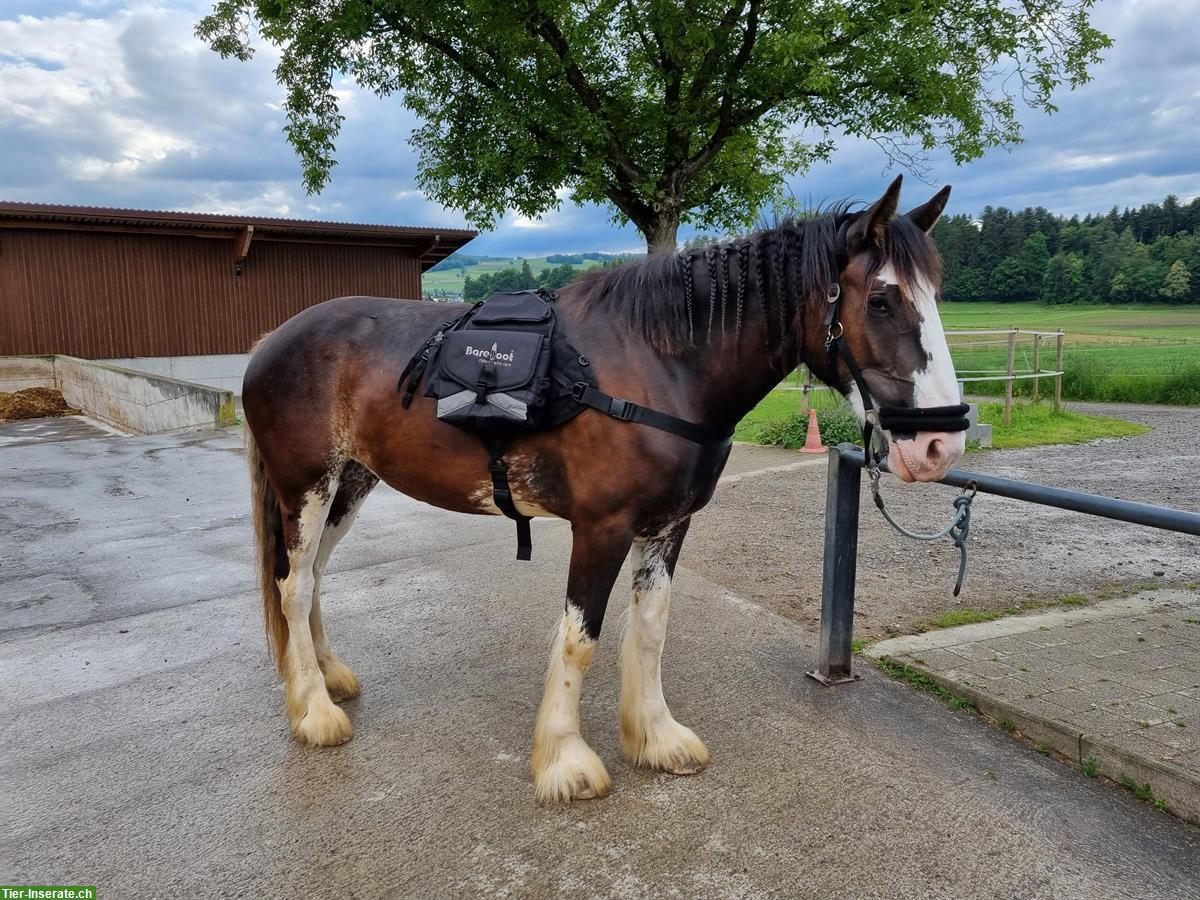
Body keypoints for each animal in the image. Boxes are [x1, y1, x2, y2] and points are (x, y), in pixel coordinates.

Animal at [243, 176, 964, 801]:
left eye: (936, 292)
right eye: (881, 299)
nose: (940, 445)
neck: (658, 365)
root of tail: (270, 341)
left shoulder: (668, 525)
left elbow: (649, 628)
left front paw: (655, 737)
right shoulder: (602, 527)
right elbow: (580, 637)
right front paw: (565, 761)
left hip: (350, 485)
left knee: (312, 578)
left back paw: (328, 679)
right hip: (307, 488)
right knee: (294, 584)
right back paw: (314, 713)